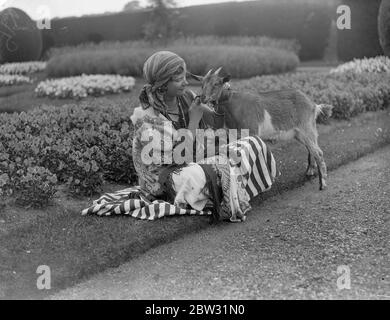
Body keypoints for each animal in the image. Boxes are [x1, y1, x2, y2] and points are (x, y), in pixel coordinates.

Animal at [192, 68, 332, 190]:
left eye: (216, 83)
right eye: (202, 84)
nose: (203, 97)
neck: (233, 105)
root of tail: (313, 105)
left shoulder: (252, 132)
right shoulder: (234, 135)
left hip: (306, 127)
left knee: (318, 152)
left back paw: (323, 184)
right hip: (301, 132)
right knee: (311, 148)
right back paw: (310, 171)